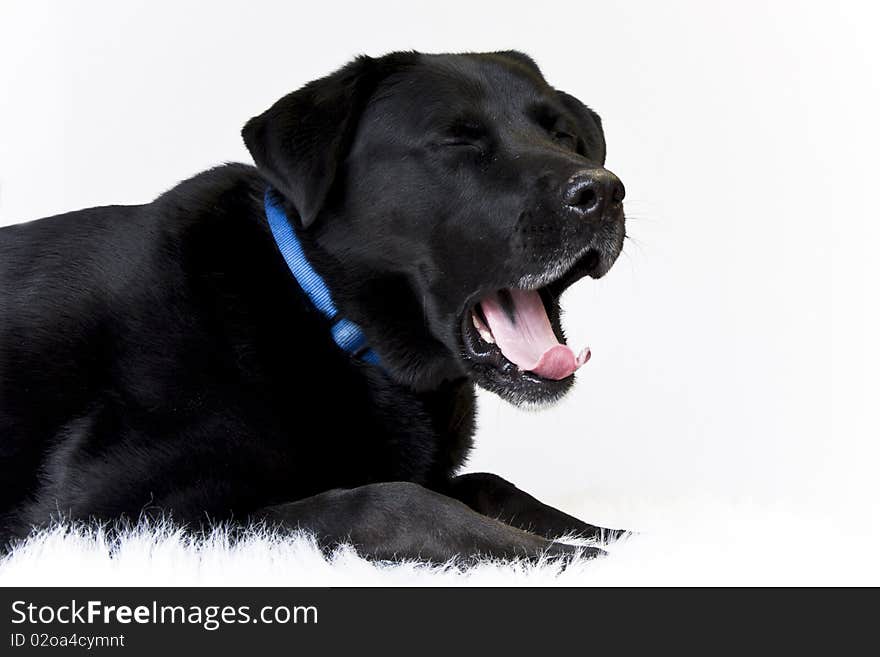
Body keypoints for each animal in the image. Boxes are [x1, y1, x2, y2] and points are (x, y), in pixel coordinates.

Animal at [3, 52, 628, 564]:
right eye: (459, 142)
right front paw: (573, 558)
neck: (322, 311)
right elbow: (394, 504)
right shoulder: (112, 516)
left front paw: (617, 536)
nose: (604, 192)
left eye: (566, 135)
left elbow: (492, 484)